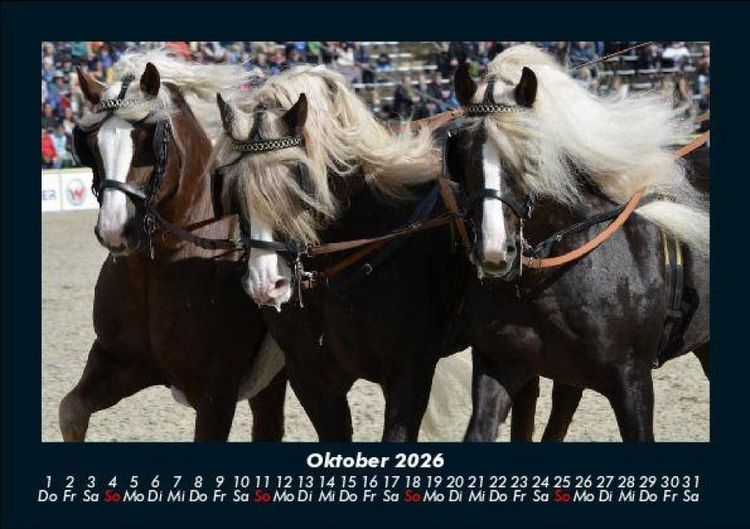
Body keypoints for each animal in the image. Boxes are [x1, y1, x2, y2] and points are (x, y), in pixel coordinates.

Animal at [59, 52, 287, 442]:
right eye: (90, 143)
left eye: (147, 138)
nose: (115, 229)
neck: (157, 268)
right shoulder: (118, 363)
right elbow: (70, 412)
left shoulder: (216, 393)